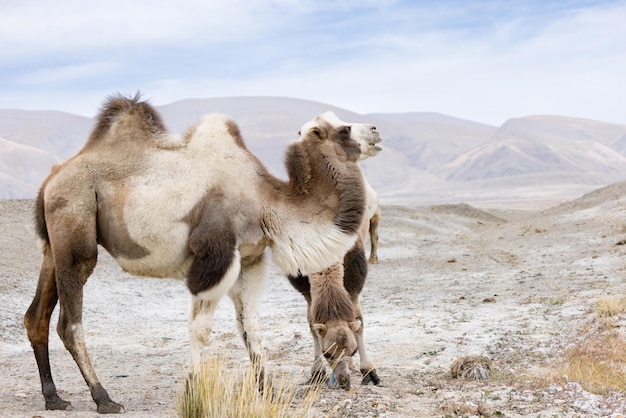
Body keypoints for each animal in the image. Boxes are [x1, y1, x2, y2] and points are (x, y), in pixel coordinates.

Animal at [23, 93, 370, 414]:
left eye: (351, 351)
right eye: (345, 129)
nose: (376, 133)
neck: (266, 202)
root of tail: (51, 178)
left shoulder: (251, 260)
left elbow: (251, 328)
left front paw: (267, 391)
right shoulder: (214, 257)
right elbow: (201, 330)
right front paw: (191, 391)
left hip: (52, 247)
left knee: (36, 317)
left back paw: (53, 397)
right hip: (75, 226)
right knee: (69, 323)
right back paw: (103, 398)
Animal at [286, 111, 380, 388]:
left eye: (352, 350)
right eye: (329, 354)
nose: (344, 380)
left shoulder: (355, 261)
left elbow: (358, 318)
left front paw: (369, 370)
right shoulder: (299, 272)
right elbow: (311, 321)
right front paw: (316, 371)